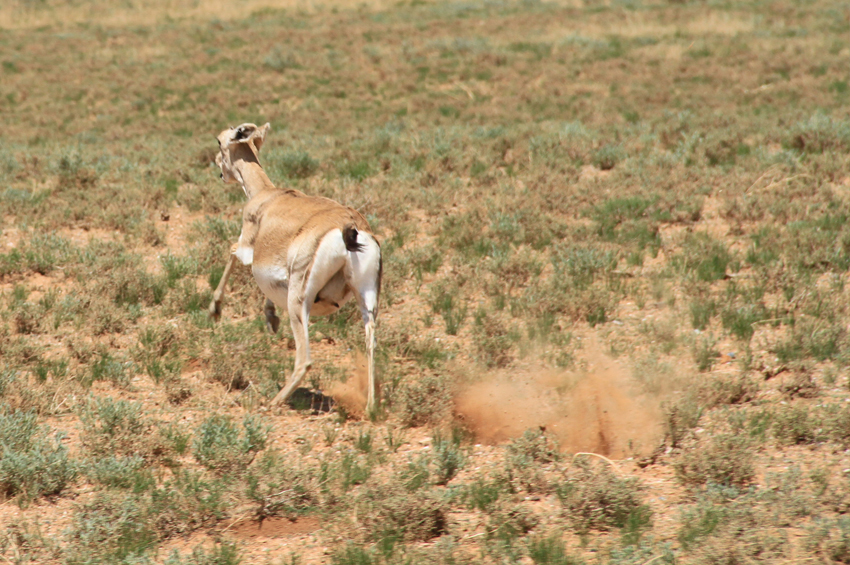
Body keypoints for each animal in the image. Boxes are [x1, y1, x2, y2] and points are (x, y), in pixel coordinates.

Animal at [213, 123, 382, 412]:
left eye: (219, 141)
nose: (216, 164)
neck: (266, 195)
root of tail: (350, 226)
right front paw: (271, 319)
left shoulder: (246, 248)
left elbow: (231, 253)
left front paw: (215, 309)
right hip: (367, 301)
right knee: (370, 342)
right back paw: (370, 407)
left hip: (298, 300)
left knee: (304, 359)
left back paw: (272, 402)